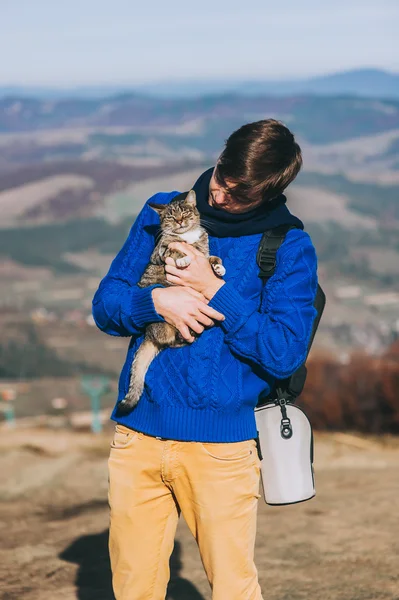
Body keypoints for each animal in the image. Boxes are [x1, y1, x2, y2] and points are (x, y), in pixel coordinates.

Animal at [118, 191, 225, 412]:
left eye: (184, 212)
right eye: (170, 216)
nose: (179, 220)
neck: (188, 236)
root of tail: (148, 334)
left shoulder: (203, 252)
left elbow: (211, 257)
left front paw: (219, 267)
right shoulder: (161, 251)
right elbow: (175, 250)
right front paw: (183, 259)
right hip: (166, 326)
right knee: (171, 341)